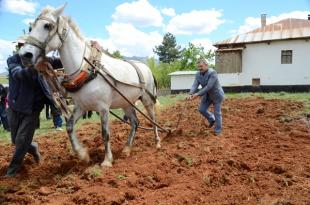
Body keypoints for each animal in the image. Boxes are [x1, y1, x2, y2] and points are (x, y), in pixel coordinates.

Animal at [19, 4, 161, 167]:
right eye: (30, 27)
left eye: (47, 26)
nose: (25, 55)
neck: (86, 69)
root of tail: (146, 67)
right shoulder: (81, 107)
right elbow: (69, 127)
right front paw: (82, 155)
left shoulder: (103, 108)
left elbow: (105, 134)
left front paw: (107, 161)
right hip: (126, 102)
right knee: (135, 123)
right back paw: (127, 149)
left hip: (147, 99)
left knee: (153, 119)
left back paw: (157, 142)